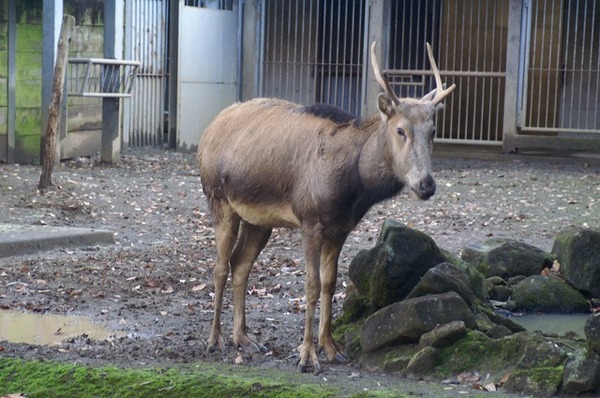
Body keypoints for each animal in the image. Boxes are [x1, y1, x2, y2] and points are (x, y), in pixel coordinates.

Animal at [197, 41, 454, 374]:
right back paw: (214, 339)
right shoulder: (311, 220)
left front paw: (331, 348)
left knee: (240, 263)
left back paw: (244, 338)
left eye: (433, 130)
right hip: (218, 198)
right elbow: (311, 284)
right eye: (400, 130)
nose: (426, 184)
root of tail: (208, 131)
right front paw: (307, 356)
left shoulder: (340, 227)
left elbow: (330, 283)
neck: (354, 190)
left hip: (258, 219)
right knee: (219, 266)